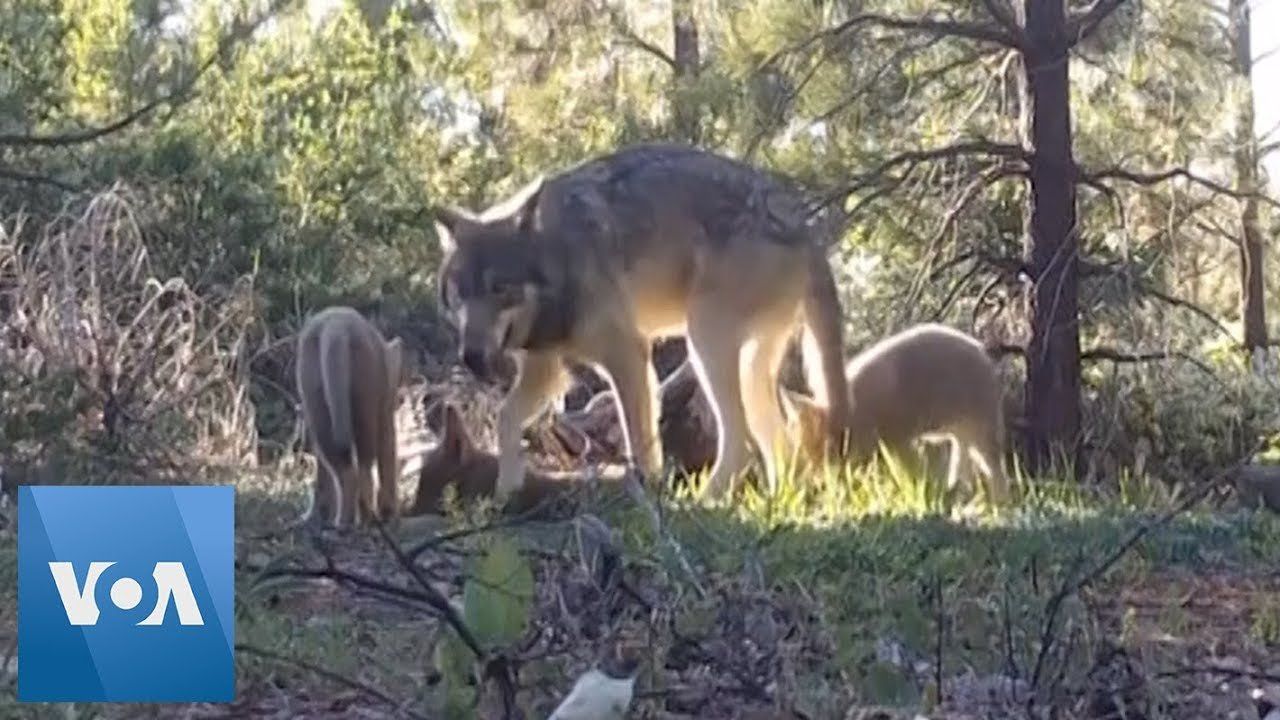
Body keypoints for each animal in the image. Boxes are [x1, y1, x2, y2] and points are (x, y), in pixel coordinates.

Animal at [294, 303, 404, 527]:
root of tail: (335, 328)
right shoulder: (385, 416)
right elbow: (388, 458)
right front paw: (389, 511)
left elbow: (322, 476)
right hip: (365, 400)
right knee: (362, 465)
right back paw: (364, 517)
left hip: (316, 398)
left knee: (340, 467)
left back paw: (338, 520)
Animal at [430, 140, 849, 499]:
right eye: (460, 293)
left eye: (500, 288)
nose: (471, 357)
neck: (561, 256)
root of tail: (805, 226)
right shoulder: (545, 366)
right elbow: (505, 418)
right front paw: (507, 489)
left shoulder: (628, 354)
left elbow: (639, 442)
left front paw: (647, 494)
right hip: (749, 367)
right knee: (779, 441)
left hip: (704, 342)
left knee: (743, 441)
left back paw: (705, 503)